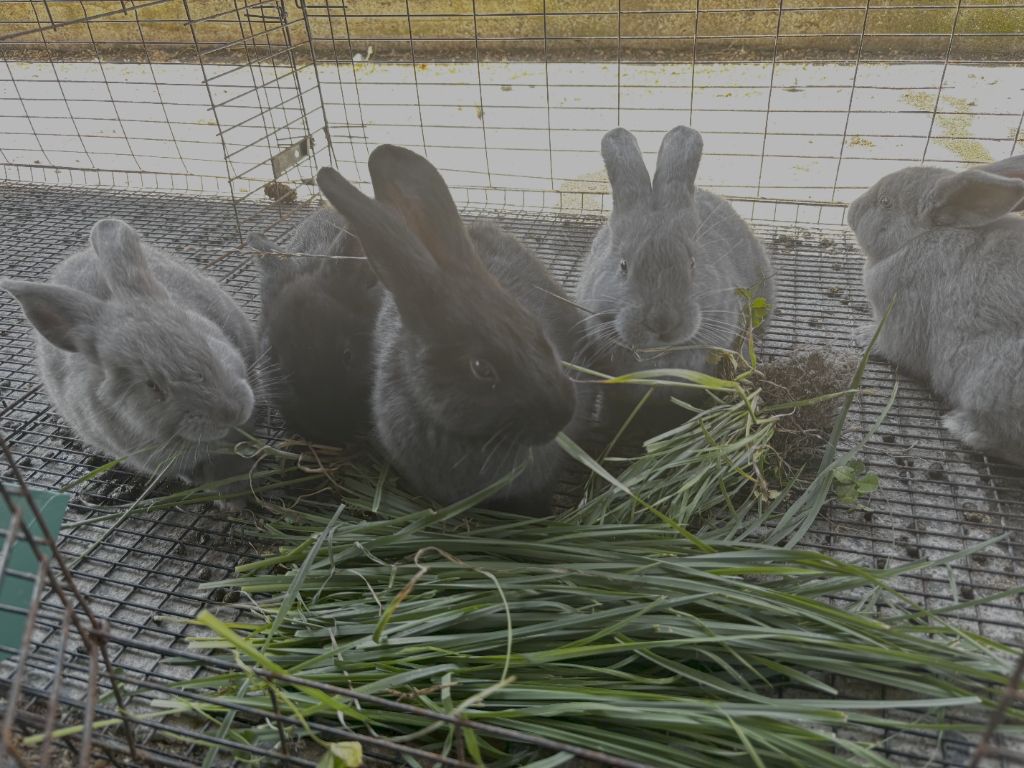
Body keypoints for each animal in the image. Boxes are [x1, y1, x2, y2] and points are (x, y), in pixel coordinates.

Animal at [847, 163, 1024, 466]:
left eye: (886, 202)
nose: (851, 211)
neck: (917, 238)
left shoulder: (899, 315)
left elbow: (892, 346)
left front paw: (861, 335)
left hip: (992, 379)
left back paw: (962, 428)